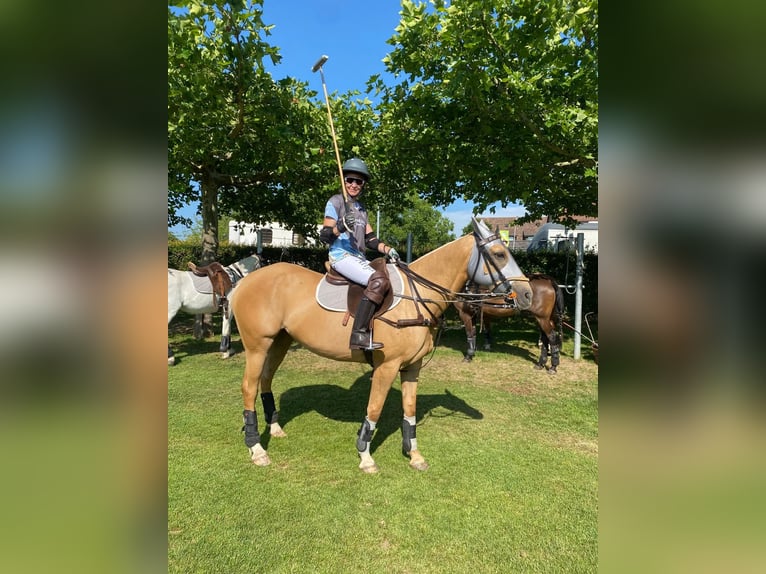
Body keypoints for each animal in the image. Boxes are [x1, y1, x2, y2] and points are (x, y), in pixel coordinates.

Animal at [230, 217, 534, 473]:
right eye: (499, 254)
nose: (528, 294)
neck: (417, 296)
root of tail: (244, 281)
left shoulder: (412, 367)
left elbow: (409, 411)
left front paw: (414, 455)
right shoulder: (387, 366)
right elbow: (374, 408)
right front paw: (365, 457)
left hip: (280, 340)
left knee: (266, 380)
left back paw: (275, 428)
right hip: (257, 345)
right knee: (249, 387)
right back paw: (257, 448)